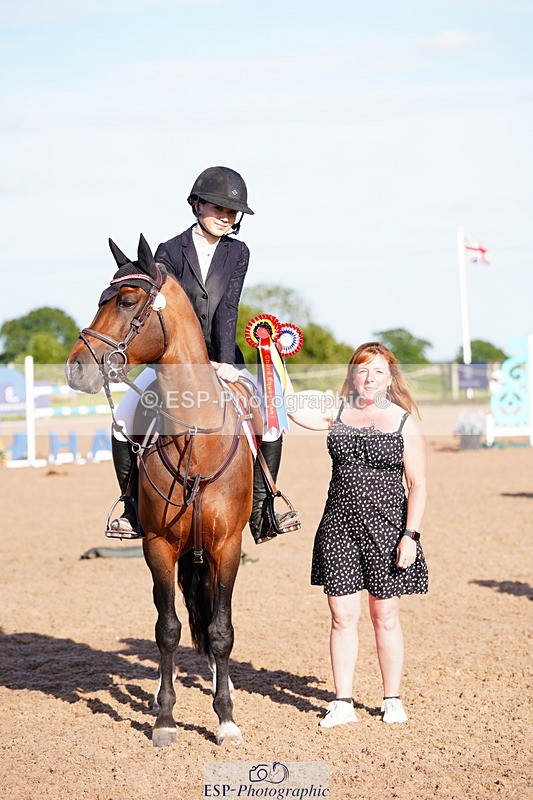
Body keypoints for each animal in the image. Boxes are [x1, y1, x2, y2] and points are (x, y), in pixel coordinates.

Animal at [65, 234, 254, 748]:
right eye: (100, 299)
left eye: (128, 301)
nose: (76, 370)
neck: (195, 438)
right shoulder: (158, 546)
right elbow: (166, 629)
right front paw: (166, 718)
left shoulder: (228, 546)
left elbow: (222, 630)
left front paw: (226, 719)